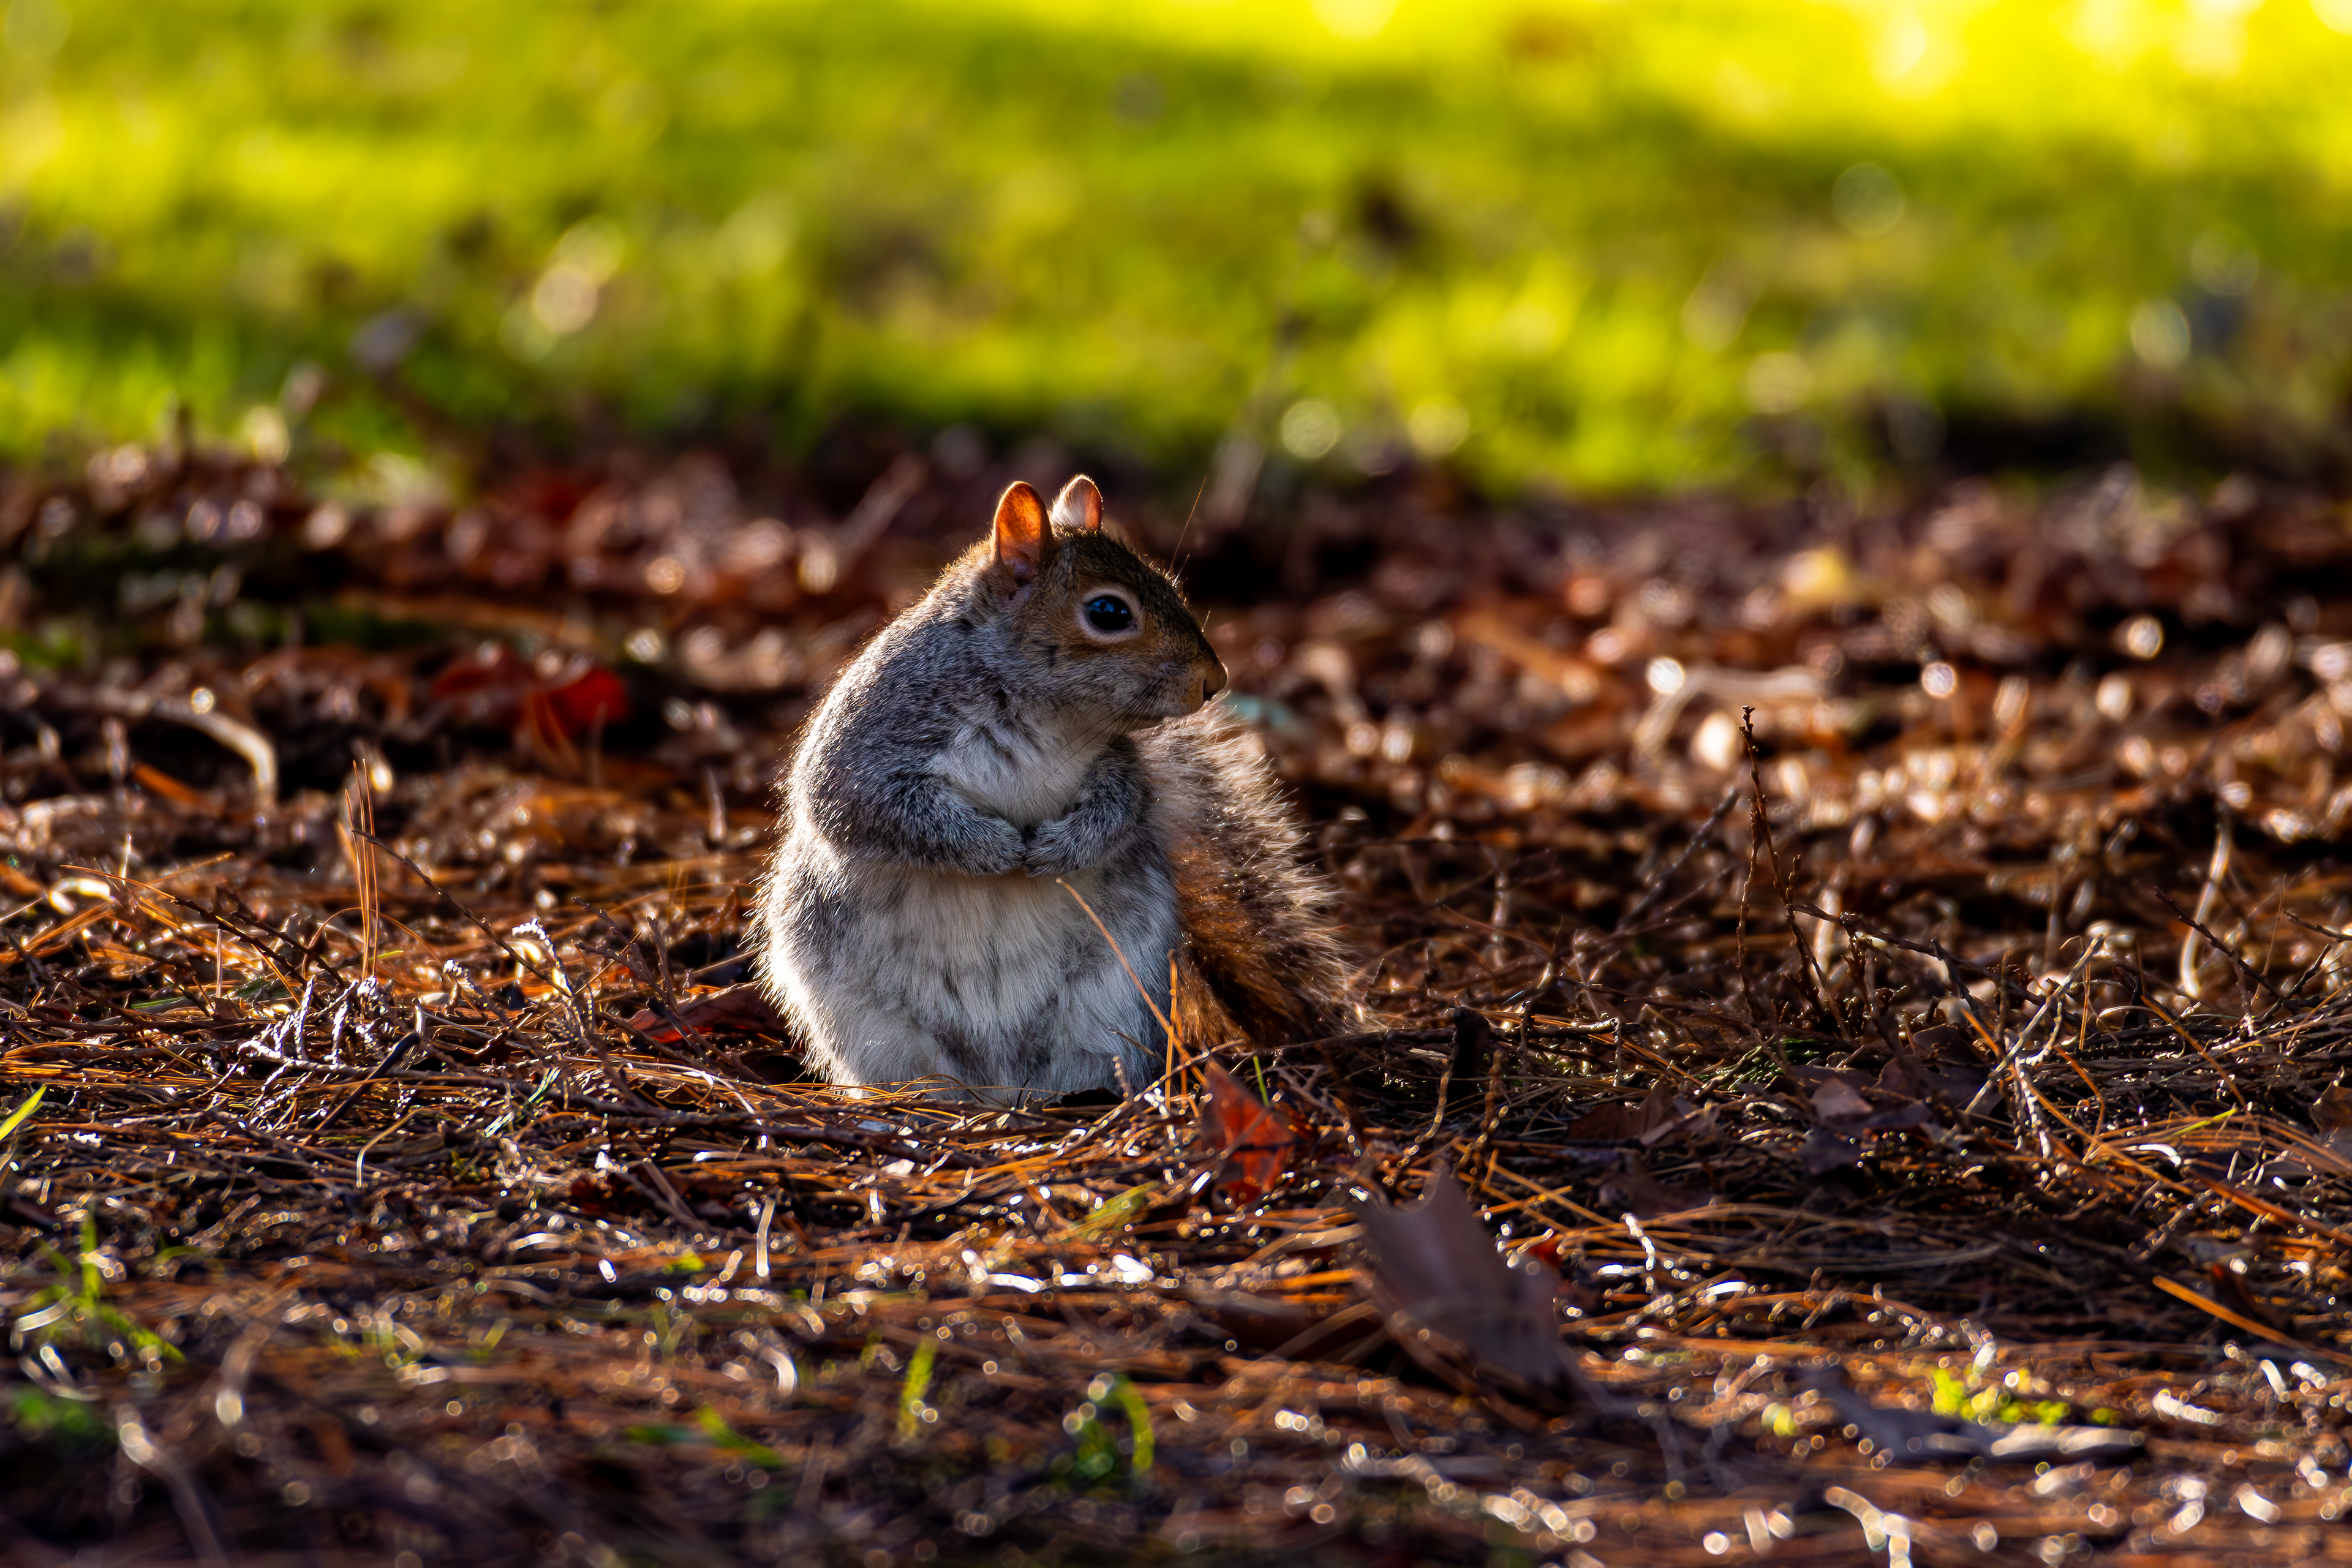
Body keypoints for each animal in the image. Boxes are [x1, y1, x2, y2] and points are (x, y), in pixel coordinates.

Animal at [756, 474, 1357, 1099]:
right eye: (1109, 611)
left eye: (1170, 585)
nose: (1214, 682)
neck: (1052, 716)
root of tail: (1002, 1091)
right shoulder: (871, 740)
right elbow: (861, 802)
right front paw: (991, 848)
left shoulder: (1116, 763)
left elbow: (1122, 809)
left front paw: (1061, 848)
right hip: (872, 1030)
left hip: (1115, 1004)